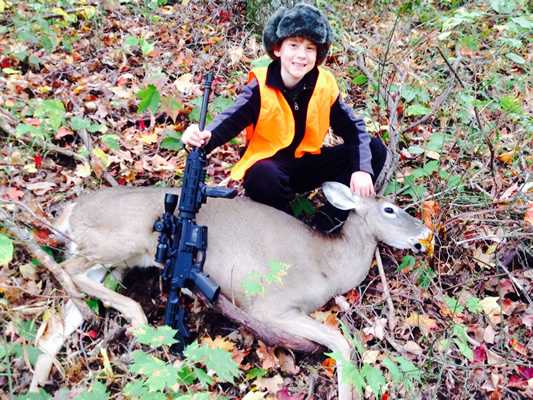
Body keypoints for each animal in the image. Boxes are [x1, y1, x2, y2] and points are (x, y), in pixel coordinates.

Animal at [32, 182, 432, 400]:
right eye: (390, 209)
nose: (425, 233)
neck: (330, 265)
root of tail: (70, 208)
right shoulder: (272, 305)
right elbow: (342, 343)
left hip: (111, 262)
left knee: (61, 319)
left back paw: (37, 386)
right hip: (118, 240)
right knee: (65, 271)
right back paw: (139, 317)